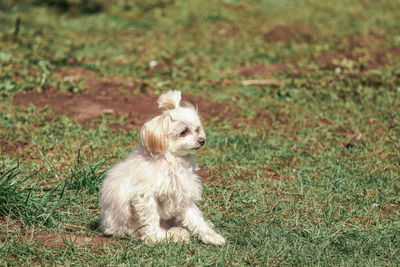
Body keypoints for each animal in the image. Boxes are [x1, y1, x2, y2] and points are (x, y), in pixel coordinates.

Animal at [99, 91, 225, 246]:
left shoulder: (183, 195)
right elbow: (151, 220)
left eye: (197, 129)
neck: (171, 160)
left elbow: (196, 219)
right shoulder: (145, 196)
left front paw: (211, 236)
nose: (202, 140)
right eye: (184, 132)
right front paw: (156, 238)